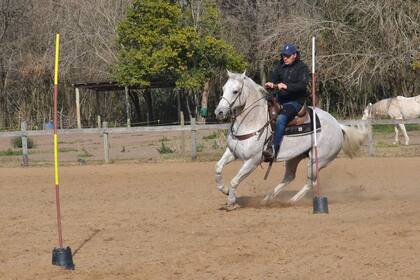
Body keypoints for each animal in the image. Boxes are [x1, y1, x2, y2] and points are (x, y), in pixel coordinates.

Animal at [215, 71, 366, 209]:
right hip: (294, 158)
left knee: (311, 182)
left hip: (317, 160)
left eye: (235, 91)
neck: (253, 121)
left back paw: (292, 201)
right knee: (289, 177)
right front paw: (225, 190)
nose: (219, 112)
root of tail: (337, 125)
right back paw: (267, 199)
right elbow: (218, 168)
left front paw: (231, 202)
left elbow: (234, 181)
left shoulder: (252, 161)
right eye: (223, 88)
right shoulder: (232, 152)